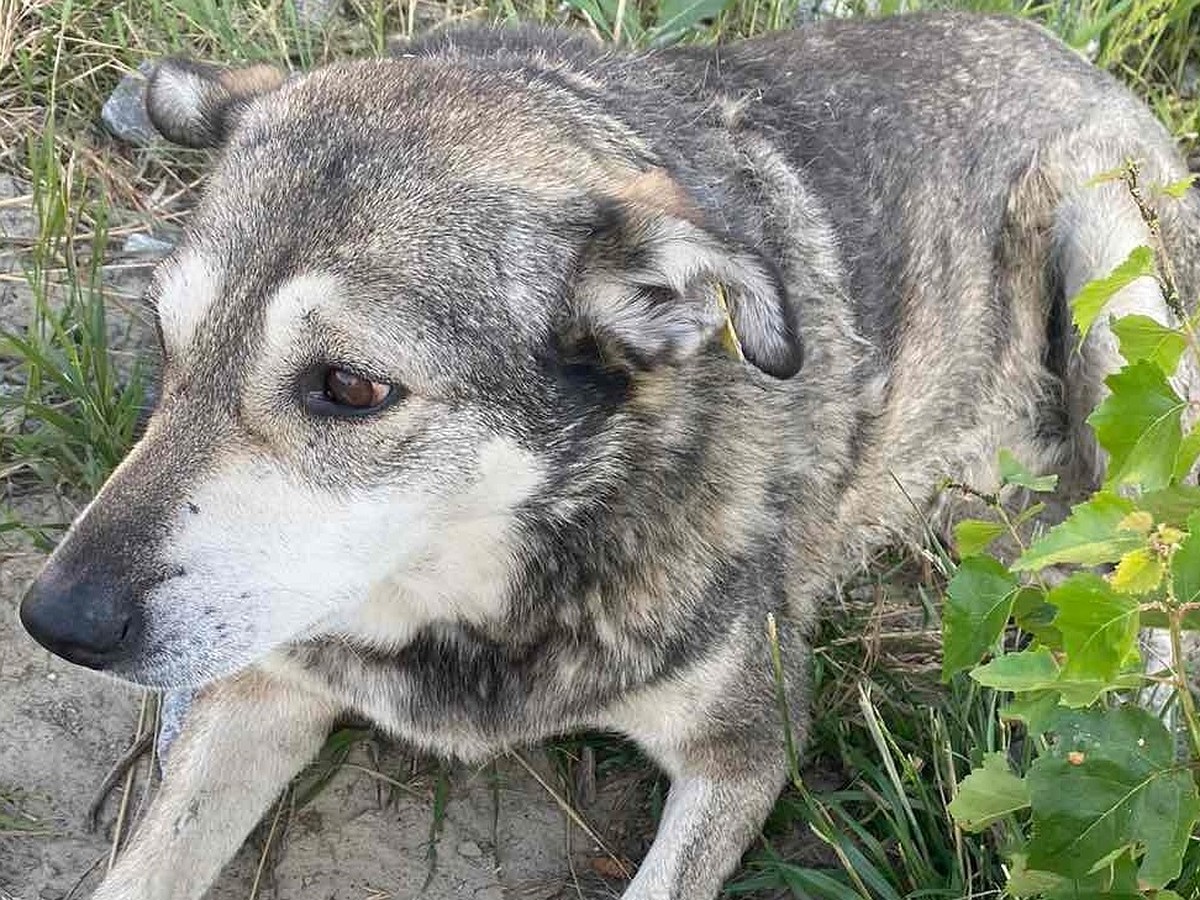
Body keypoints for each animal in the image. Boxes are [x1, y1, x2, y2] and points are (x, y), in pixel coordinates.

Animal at [18, 10, 1200, 897]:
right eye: (167, 339)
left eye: (350, 388)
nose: (55, 622)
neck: (485, 588)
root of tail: (1065, 49)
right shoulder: (258, 685)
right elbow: (142, 867)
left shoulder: (749, 741)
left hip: (1117, 266)